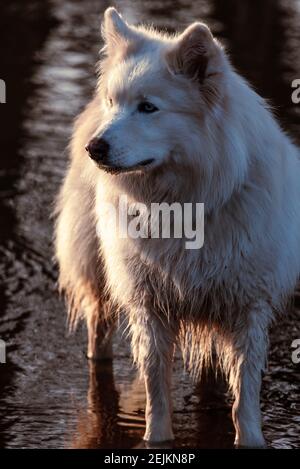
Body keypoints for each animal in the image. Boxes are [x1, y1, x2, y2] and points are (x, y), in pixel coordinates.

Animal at [55, 7, 300, 446]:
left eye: (148, 108)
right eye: (116, 102)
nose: (94, 148)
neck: (187, 204)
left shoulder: (249, 307)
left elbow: (246, 393)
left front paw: (251, 438)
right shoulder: (149, 306)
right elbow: (157, 389)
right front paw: (156, 440)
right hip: (99, 276)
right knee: (98, 336)